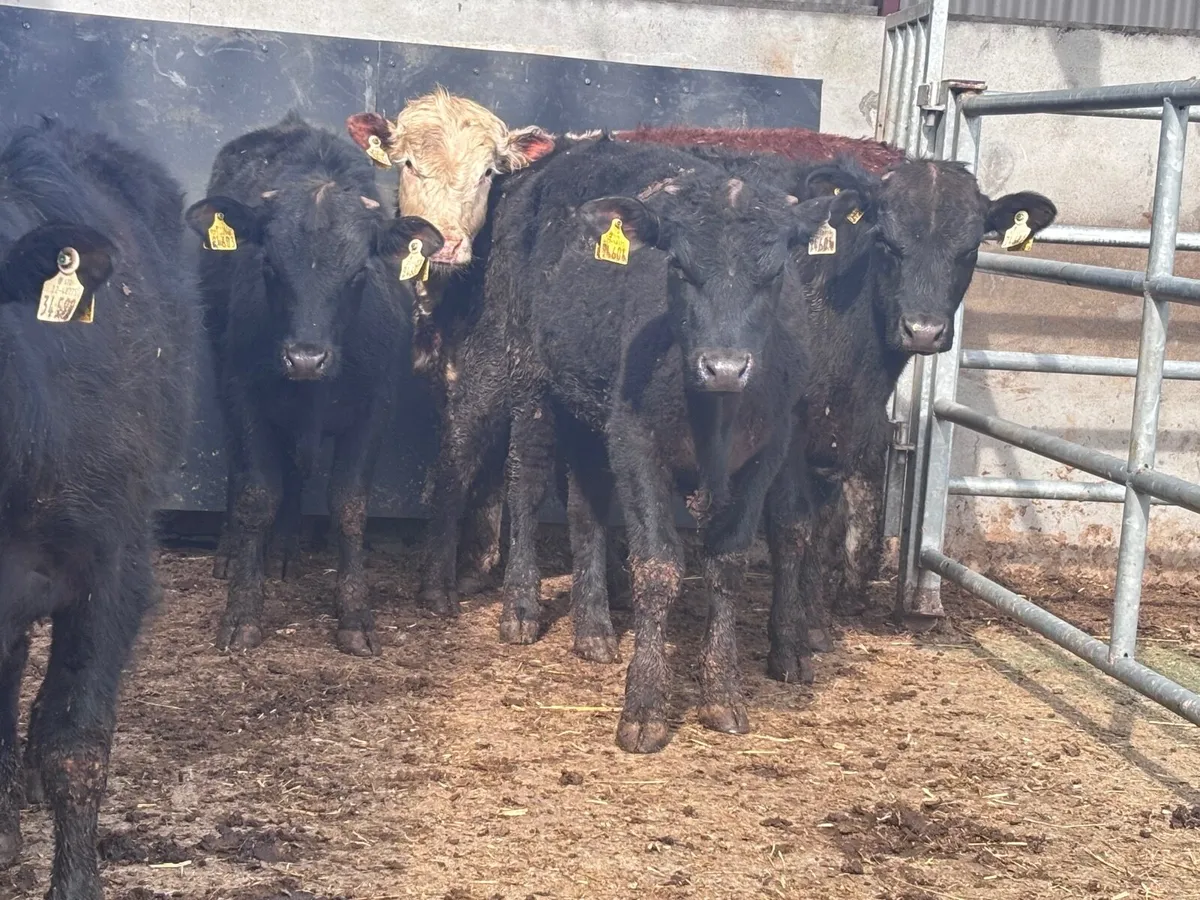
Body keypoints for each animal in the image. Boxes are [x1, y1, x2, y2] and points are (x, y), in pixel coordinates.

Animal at [185, 112, 442, 656]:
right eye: (268, 265)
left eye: (359, 272)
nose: (305, 357)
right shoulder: (244, 397)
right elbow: (257, 495)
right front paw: (241, 611)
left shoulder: (373, 411)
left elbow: (348, 504)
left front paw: (355, 617)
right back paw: (230, 551)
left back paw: (285, 552)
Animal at [346, 92, 556, 608]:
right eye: (408, 163)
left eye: (487, 173)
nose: (443, 244)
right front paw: (476, 564)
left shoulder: (487, 373)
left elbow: (457, 459)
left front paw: (442, 578)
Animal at [427, 135, 861, 752]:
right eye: (677, 265)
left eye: (775, 271)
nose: (724, 366)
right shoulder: (635, 441)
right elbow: (656, 566)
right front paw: (646, 705)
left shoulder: (766, 453)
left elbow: (728, 563)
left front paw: (722, 692)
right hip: (529, 375)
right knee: (527, 485)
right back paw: (522, 607)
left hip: (588, 410)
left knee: (584, 506)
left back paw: (593, 628)